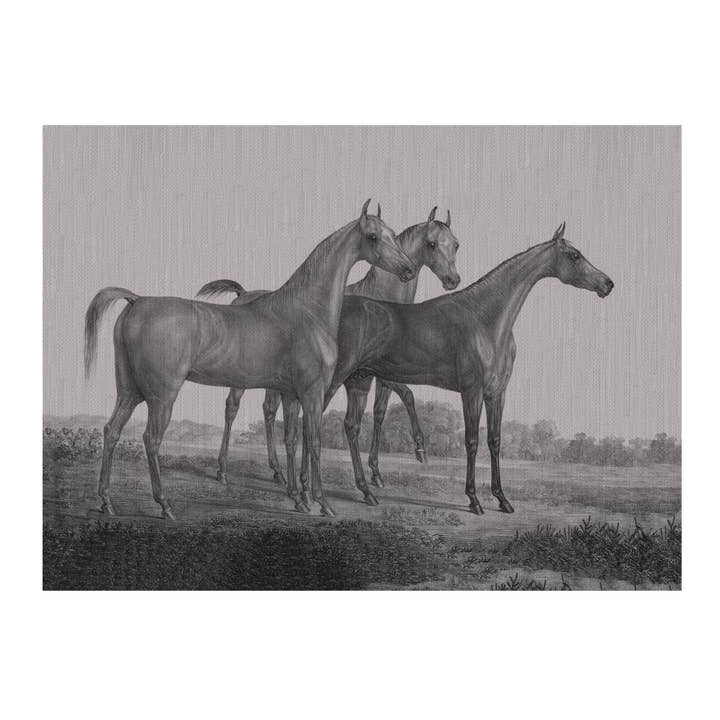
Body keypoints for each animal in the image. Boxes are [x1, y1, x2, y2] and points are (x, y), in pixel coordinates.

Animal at [83, 200, 417, 519]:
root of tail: (137, 301)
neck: (308, 310)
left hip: (129, 392)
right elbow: (315, 442)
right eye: (373, 236)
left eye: (391, 233)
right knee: (151, 440)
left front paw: (299, 499)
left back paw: (106, 501)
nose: (408, 269)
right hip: (161, 397)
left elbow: (291, 440)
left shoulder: (290, 394)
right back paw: (164, 505)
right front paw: (323, 503)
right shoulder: (312, 392)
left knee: (111, 432)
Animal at [196, 206, 461, 495]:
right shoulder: (348, 376)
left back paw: (278, 472)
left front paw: (376, 473)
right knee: (232, 409)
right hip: (244, 379)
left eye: (456, 244)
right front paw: (418, 448)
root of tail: (242, 294)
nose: (453, 280)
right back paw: (223, 471)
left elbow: (383, 410)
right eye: (432, 243)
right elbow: (401, 398)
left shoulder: (375, 375)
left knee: (268, 411)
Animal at [295, 222, 614, 514]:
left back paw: (363, 492)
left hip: (358, 382)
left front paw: (502, 498)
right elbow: (471, 441)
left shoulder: (497, 393)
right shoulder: (471, 391)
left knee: (349, 426)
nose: (607, 283)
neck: (486, 319)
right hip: (332, 381)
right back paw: (307, 495)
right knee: (309, 425)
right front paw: (474, 500)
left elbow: (494, 441)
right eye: (574, 255)